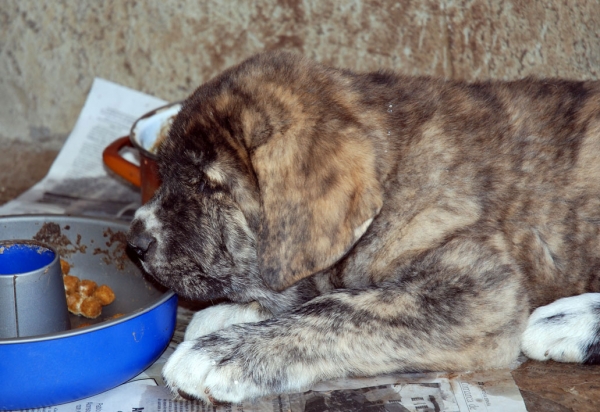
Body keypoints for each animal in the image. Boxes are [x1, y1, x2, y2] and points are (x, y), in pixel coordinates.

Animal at [126, 50, 600, 402]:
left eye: (206, 184)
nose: (135, 243)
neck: (391, 173)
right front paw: (228, 315)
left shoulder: (480, 288)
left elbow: (341, 309)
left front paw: (223, 355)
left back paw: (567, 321)